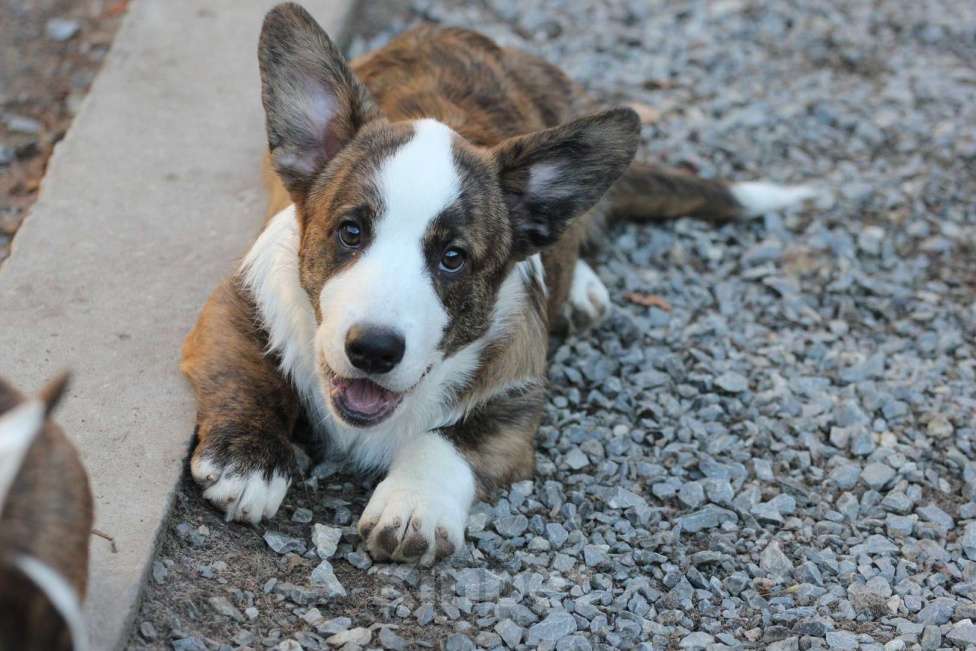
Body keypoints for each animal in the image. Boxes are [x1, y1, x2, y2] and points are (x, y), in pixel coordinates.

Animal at [179, 2, 812, 564]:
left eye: (453, 258)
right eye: (350, 231)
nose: (374, 350)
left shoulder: (517, 403)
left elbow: (445, 441)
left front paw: (413, 507)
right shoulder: (240, 299)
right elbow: (250, 372)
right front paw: (250, 461)